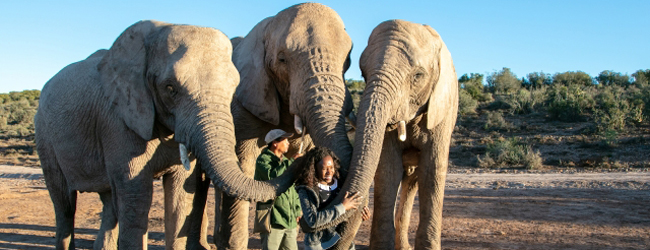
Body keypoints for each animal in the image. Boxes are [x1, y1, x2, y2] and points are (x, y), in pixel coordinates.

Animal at [34, 20, 296, 250]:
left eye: (233, 89)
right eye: (170, 88)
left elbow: (180, 198)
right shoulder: (119, 121)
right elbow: (136, 198)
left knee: (109, 202)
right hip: (44, 135)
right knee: (64, 203)